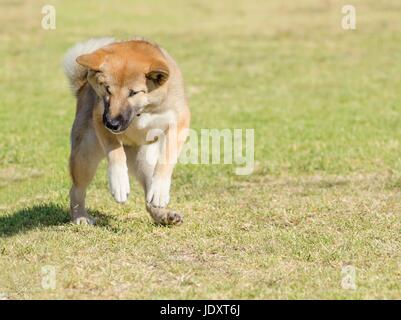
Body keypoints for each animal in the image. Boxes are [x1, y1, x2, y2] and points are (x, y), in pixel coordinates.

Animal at [63, 37, 191, 225]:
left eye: (133, 92)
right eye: (107, 89)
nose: (112, 123)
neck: (143, 111)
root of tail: (82, 87)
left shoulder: (179, 122)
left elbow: (167, 157)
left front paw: (160, 191)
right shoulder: (100, 117)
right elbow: (115, 152)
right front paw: (119, 183)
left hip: (144, 160)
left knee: (149, 196)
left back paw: (163, 214)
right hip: (85, 156)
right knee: (76, 189)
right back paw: (80, 216)